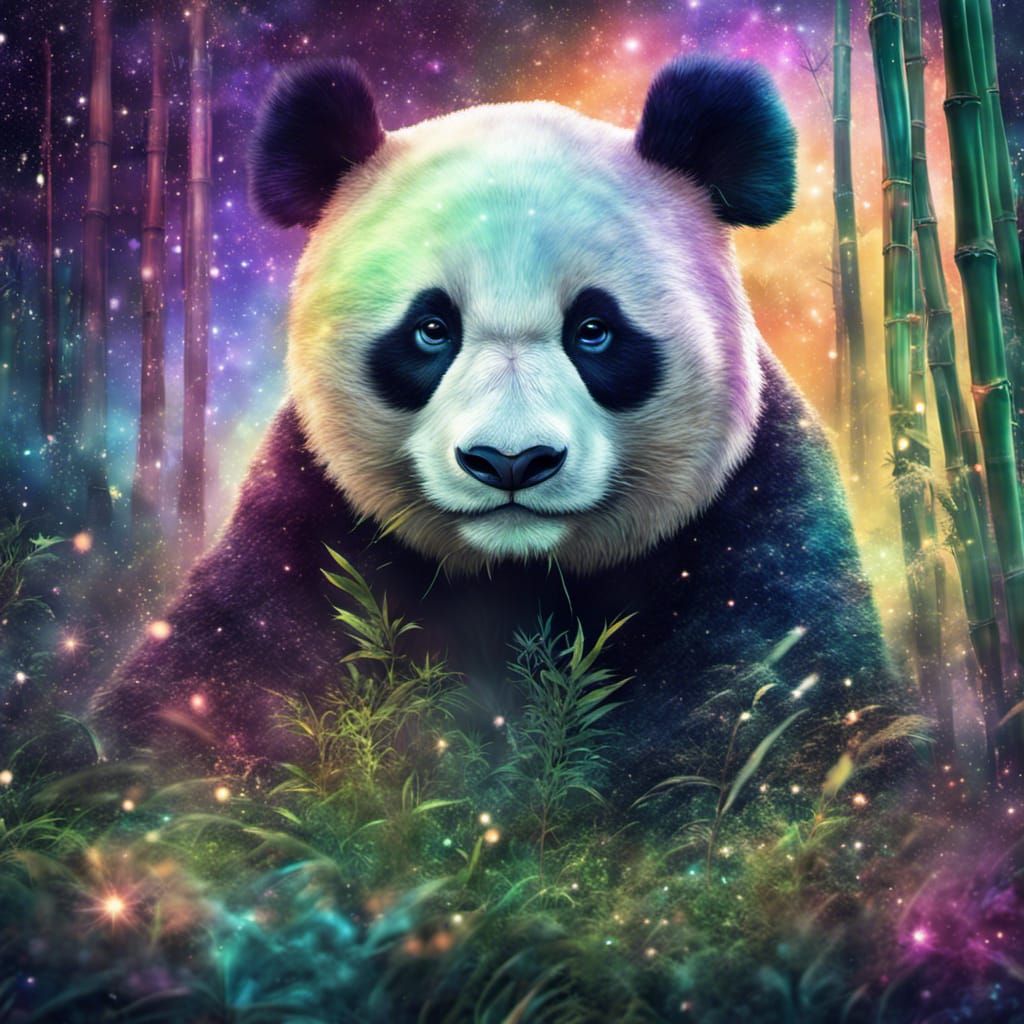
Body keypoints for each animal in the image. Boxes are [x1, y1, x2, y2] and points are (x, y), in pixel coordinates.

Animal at [92, 56, 899, 795]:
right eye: (431, 329)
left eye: (595, 330)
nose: (511, 460)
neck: (519, 574)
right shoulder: (309, 525)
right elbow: (208, 679)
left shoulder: (756, 512)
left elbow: (787, 699)